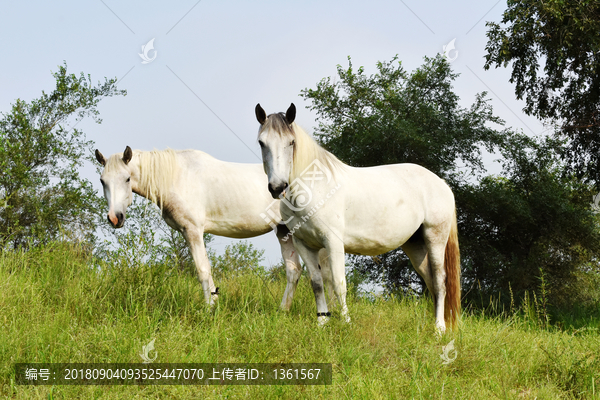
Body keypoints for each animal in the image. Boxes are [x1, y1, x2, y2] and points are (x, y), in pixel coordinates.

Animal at [95, 146, 328, 310]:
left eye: (127, 178)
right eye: (102, 181)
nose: (115, 218)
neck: (176, 176)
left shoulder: (193, 231)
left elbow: (202, 270)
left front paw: (208, 309)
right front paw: (214, 303)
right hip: (283, 231)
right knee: (294, 271)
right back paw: (283, 310)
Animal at [253, 102, 460, 332]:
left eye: (291, 142)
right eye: (262, 142)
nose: (277, 187)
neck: (314, 189)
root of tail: (440, 183)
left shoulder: (333, 242)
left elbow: (338, 283)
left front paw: (346, 322)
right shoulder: (303, 245)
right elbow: (316, 283)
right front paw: (322, 322)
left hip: (435, 239)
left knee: (440, 281)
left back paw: (439, 329)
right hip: (415, 245)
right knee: (431, 282)